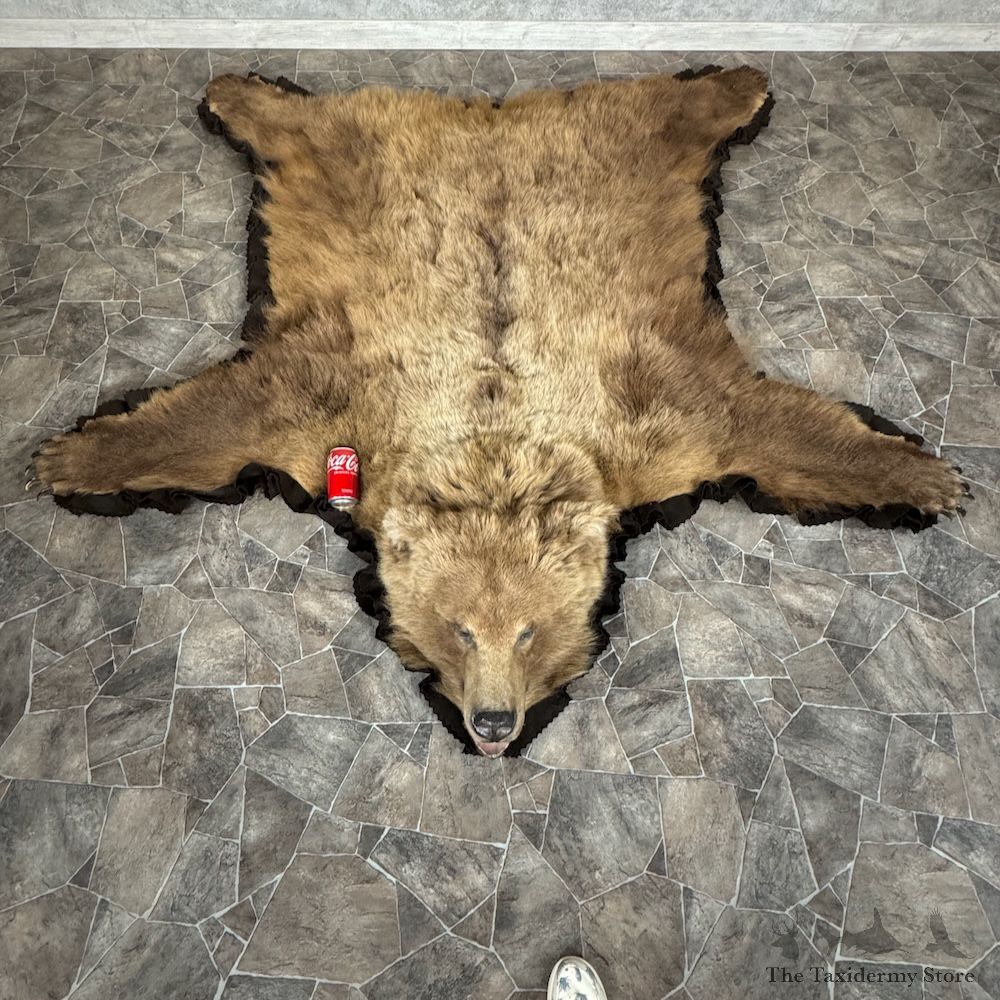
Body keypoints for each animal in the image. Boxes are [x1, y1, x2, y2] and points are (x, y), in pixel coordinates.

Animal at [30, 68, 967, 757]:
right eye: (458, 630)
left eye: (527, 632)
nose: (492, 723)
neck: (495, 444)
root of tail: (490, 117)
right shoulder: (331, 396)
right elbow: (216, 418)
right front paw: (70, 458)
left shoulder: (655, 412)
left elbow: (768, 424)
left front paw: (927, 474)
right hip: (356, 157)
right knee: (314, 125)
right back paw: (239, 90)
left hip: (620, 151)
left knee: (660, 109)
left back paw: (739, 82)